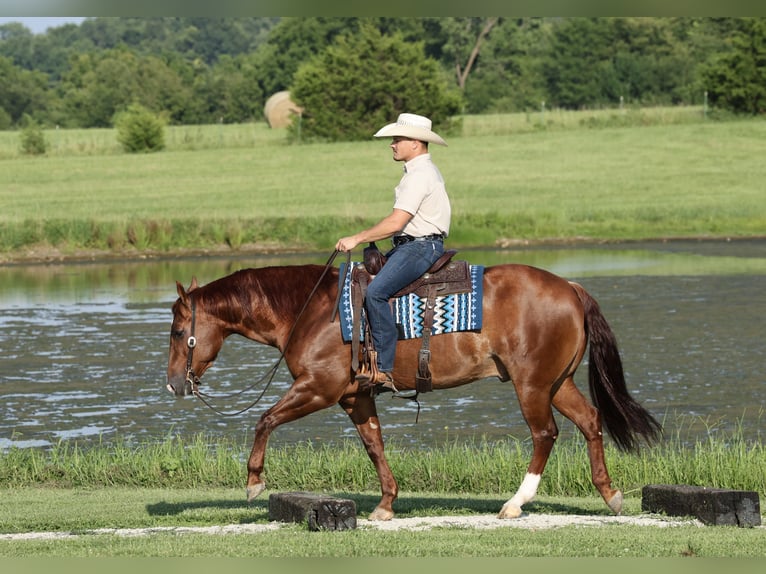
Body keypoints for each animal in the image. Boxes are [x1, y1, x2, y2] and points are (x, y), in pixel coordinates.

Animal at [166, 260, 661, 520]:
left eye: (175, 331)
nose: (173, 383)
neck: (311, 310)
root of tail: (571, 287)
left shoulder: (318, 389)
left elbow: (264, 419)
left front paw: (254, 482)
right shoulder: (355, 397)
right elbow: (374, 445)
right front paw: (386, 504)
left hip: (532, 385)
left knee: (545, 434)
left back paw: (515, 504)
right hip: (557, 383)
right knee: (590, 422)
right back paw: (610, 495)